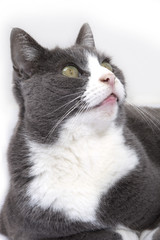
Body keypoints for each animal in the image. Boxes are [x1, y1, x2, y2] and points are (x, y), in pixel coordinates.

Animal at [0, 23, 160, 240]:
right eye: (70, 71)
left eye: (107, 66)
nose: (110, 77)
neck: (84, 145)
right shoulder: (21, 225)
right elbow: (102, 233)